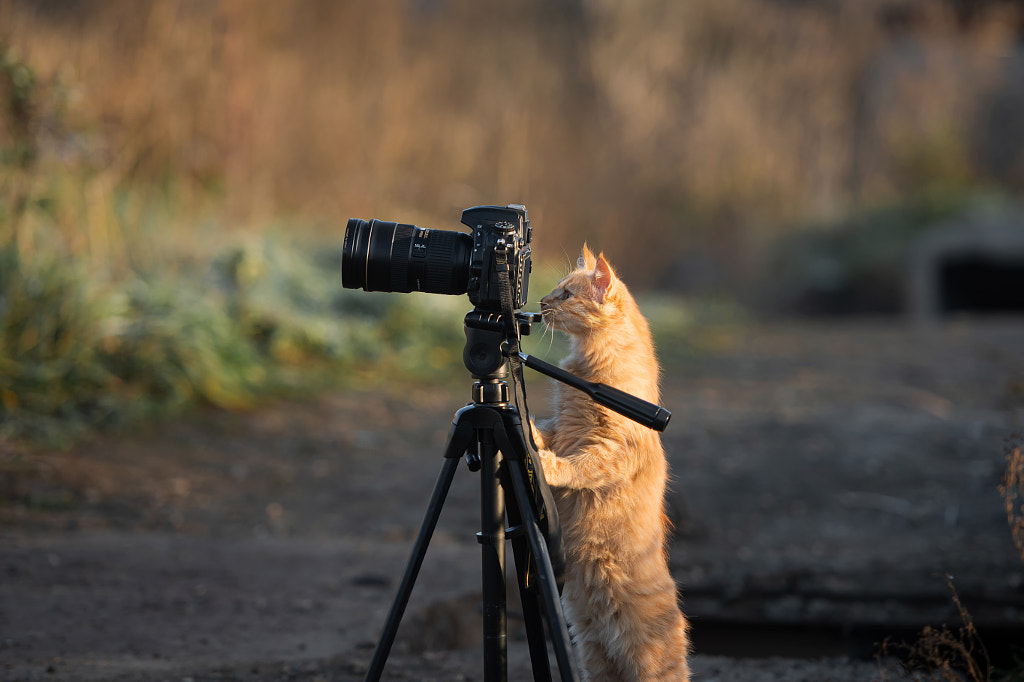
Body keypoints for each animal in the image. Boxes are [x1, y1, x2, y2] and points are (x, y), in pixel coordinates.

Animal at [532, 245, 692, 679]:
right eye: (556, 290)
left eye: (566, 294)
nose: (542, 302)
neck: (586, 363)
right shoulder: (562, 425)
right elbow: (547, 431)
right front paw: (530, 432)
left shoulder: (612, 446)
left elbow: (580, 466)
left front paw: (547, 464)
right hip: (590, 647)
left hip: (645, 657)